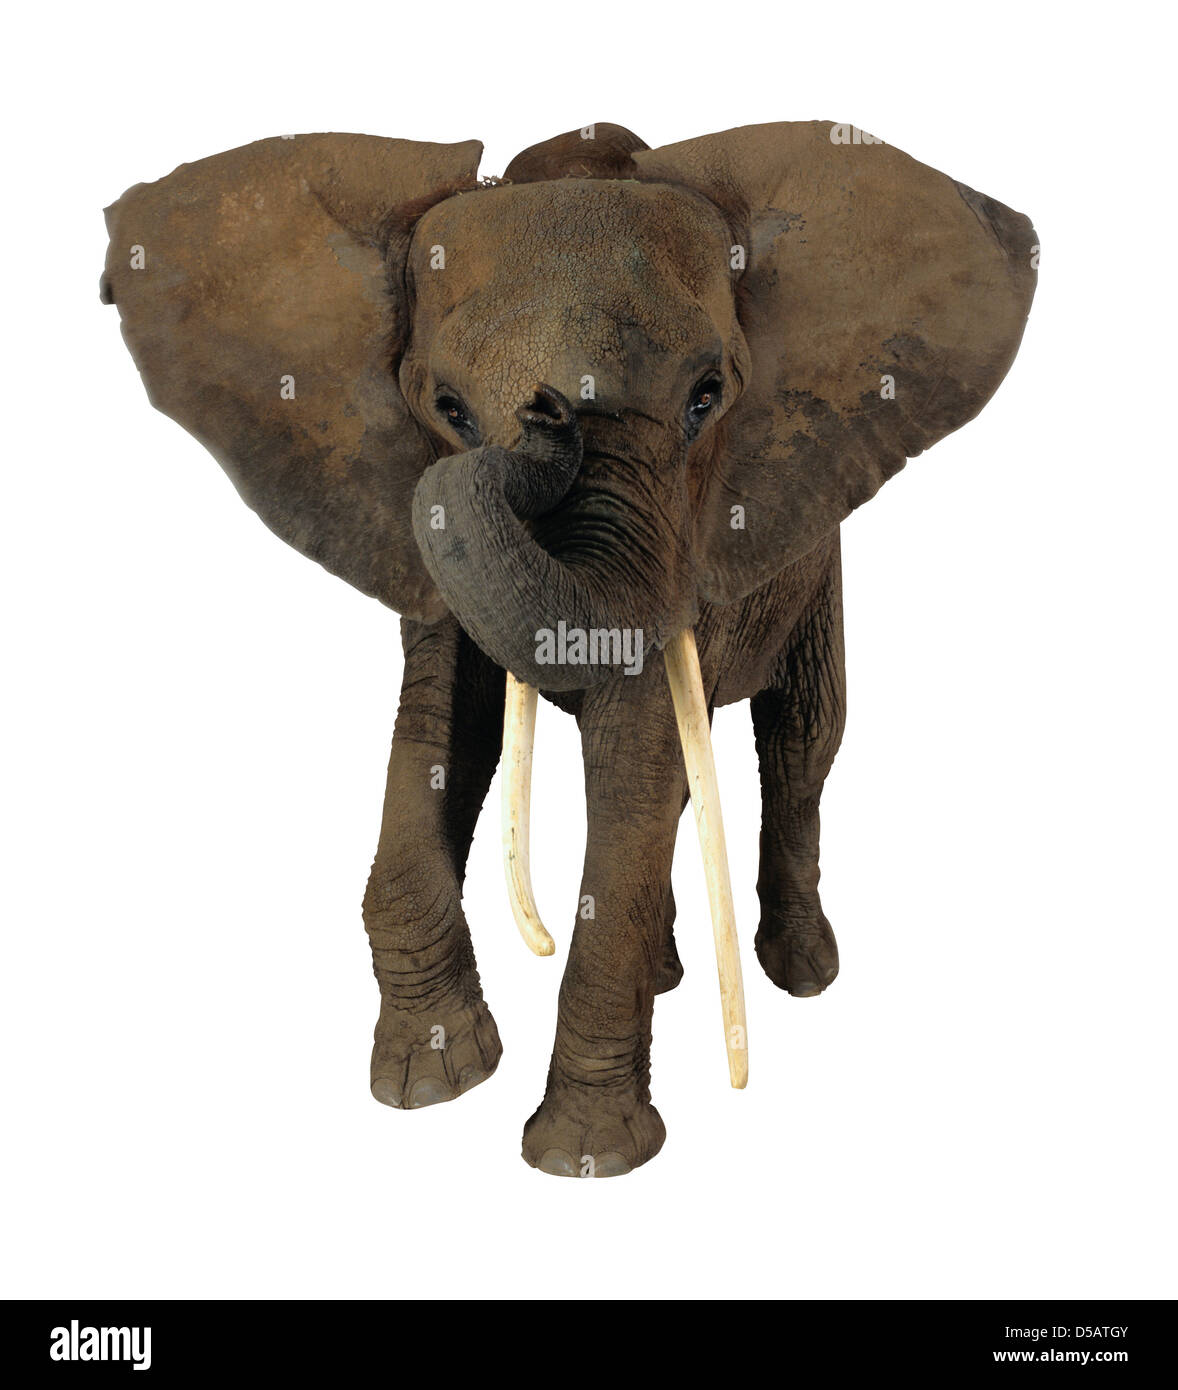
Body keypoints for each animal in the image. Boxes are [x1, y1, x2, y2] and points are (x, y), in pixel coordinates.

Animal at [101, 120, 1036, 1177]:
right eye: (448, 407)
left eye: (708, 397)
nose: (549, 415)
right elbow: (441, 731)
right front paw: (431, 1080)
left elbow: (635, 763)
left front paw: (583, 1157)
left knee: (804, 737)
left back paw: (802, 974)